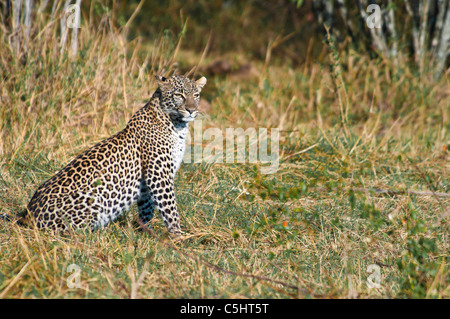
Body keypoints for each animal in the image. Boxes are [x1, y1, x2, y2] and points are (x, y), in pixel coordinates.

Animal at [17, 75, 207, 235]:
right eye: (179, 95)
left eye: (196, 95)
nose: (191, 110)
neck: (177, 125)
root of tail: (29, 215)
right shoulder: (159, 174)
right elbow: (170, 207)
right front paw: (178, 236)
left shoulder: (149, 181)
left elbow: (147, 207)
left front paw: (144, 232)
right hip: (93, 199)